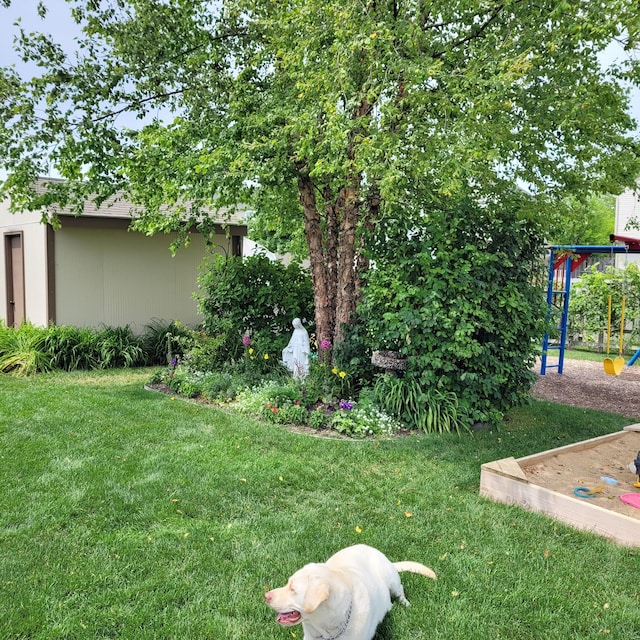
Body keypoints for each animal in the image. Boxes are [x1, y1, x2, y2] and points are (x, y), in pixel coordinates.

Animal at [264, 544, 436, 640]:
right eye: (287, 583)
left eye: (293, 589)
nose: (266, 596)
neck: (328, 631)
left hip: (393, 580)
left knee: (400, 594)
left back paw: (405, 604)